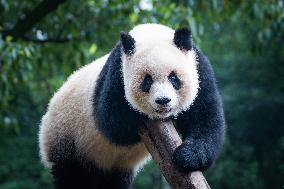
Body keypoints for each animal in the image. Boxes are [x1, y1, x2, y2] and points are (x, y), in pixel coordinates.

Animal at [38, 24, 225, 189]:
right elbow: (113, 123)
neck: (150, 33)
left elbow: (206, 119)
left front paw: (186, 156)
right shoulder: (117, 72)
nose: (163, 100)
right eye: (147, 81)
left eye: (173, 78)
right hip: (67, 140)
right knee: (72, 177)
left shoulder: (200, 69)